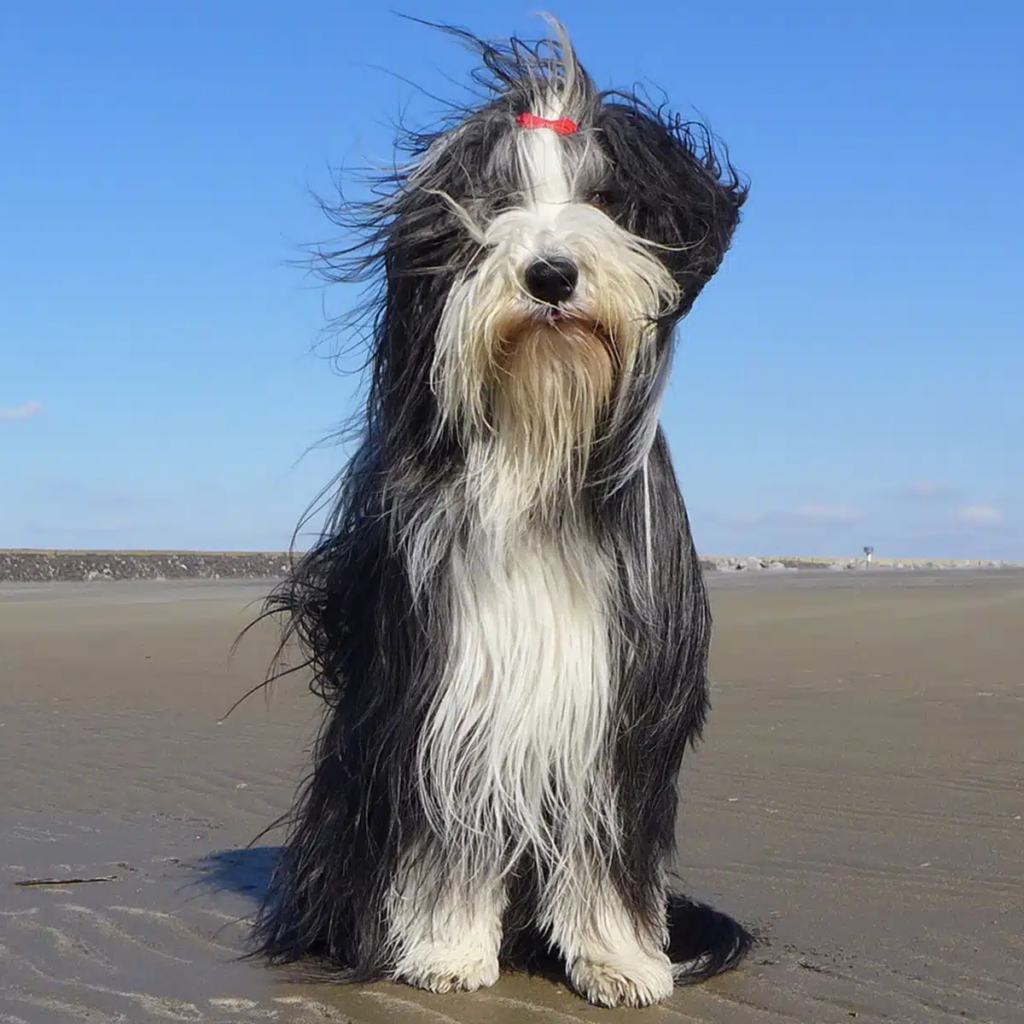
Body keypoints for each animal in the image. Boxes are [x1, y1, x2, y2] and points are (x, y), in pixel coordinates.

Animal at [253, 14, 753, 1007]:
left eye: (605, 200)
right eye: (493, 207)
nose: (551, 274)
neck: (538, 447)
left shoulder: (621, 707)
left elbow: (608, 851)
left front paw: (622, 959)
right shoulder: (447, 697)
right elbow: (450, 836)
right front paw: (446, 949)